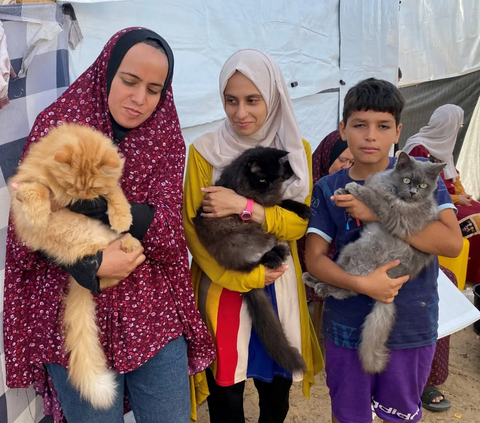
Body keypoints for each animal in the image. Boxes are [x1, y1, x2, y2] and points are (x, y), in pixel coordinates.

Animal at [9, 123, 141, 410]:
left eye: (92, 186)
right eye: (73, 185)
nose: (82, 197)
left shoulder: (109, 188)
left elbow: (115, 193)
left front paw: (122, 216)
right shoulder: (25, 184)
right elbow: (36, 189)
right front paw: (38, 213)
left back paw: (130, 242)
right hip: (83, 240)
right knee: (102, 271)